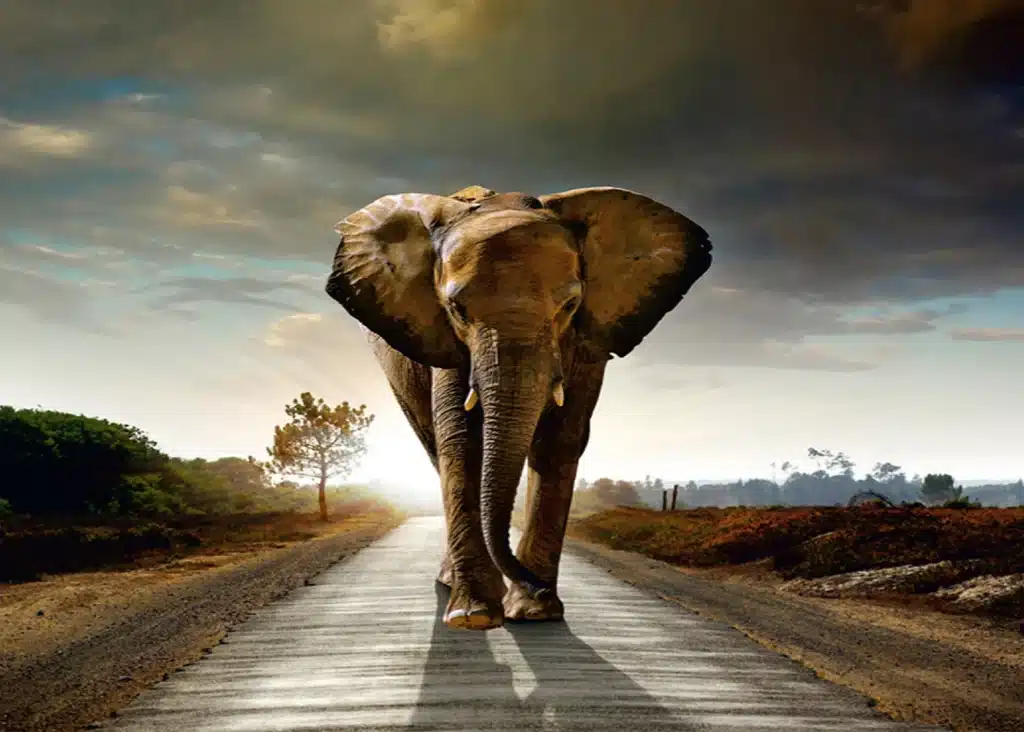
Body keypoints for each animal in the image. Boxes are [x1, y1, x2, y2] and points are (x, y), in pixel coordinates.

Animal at [325, 184, 712, 630]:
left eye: (570, 306)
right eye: (456, 309)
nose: (538, 587)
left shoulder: (588, 339)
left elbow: (560, 440)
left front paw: (534, 612)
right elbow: (461, 440)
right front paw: (475, 616)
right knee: (435, 446)